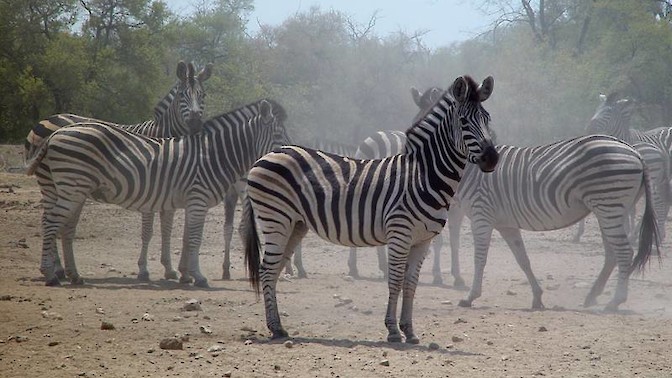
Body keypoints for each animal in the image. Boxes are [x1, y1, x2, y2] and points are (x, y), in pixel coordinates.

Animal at [23, 61, 213, 280]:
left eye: (203, 95)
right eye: (182, 94)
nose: (196, 123)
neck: (164, 135)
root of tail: (44, 120)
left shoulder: (168, 192)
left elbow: (167, 229)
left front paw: (169, 269)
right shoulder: (151, 188)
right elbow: (148, 231)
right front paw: (144, 270)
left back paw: (59, 269)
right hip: (49, 181)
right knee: (48, 219)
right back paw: (57, 269)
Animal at [27, 99, 290, 288]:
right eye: (278, 135)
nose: (287, 159)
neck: (214, 155)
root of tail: (56, 133)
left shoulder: (193, 201)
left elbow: (186, 238)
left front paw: (185, 274)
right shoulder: (198, 199)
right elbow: (195, 239)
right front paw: (198, 277)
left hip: (72, 189)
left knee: (64, 228)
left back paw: (73, 275)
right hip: (70, 186)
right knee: (51, 223)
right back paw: (50, 274)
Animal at [243, 75, 498, 344]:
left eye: (487, 119)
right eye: (464, 121)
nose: (492, 158)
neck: (422, 175)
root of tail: (268, 154)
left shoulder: (423, 240)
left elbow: (411, 284)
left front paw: (410, 331)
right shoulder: (400, 233)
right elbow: (395, 281)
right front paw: (393, 330)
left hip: (295, 224)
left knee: (275, 269)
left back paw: (279, 327)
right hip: (275, 218)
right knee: (266, 270)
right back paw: (275, 328)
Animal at [454, 134, 660, 312]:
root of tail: (635, 152)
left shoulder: (481, 216)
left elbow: (479, 259)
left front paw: (470, 297)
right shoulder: (506, 225)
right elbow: (523, 259)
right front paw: (537, 297)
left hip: (609, 205)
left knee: (624, 252)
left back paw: (615, 301)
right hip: (611, 210)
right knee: (612, 254)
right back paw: (592, 296)